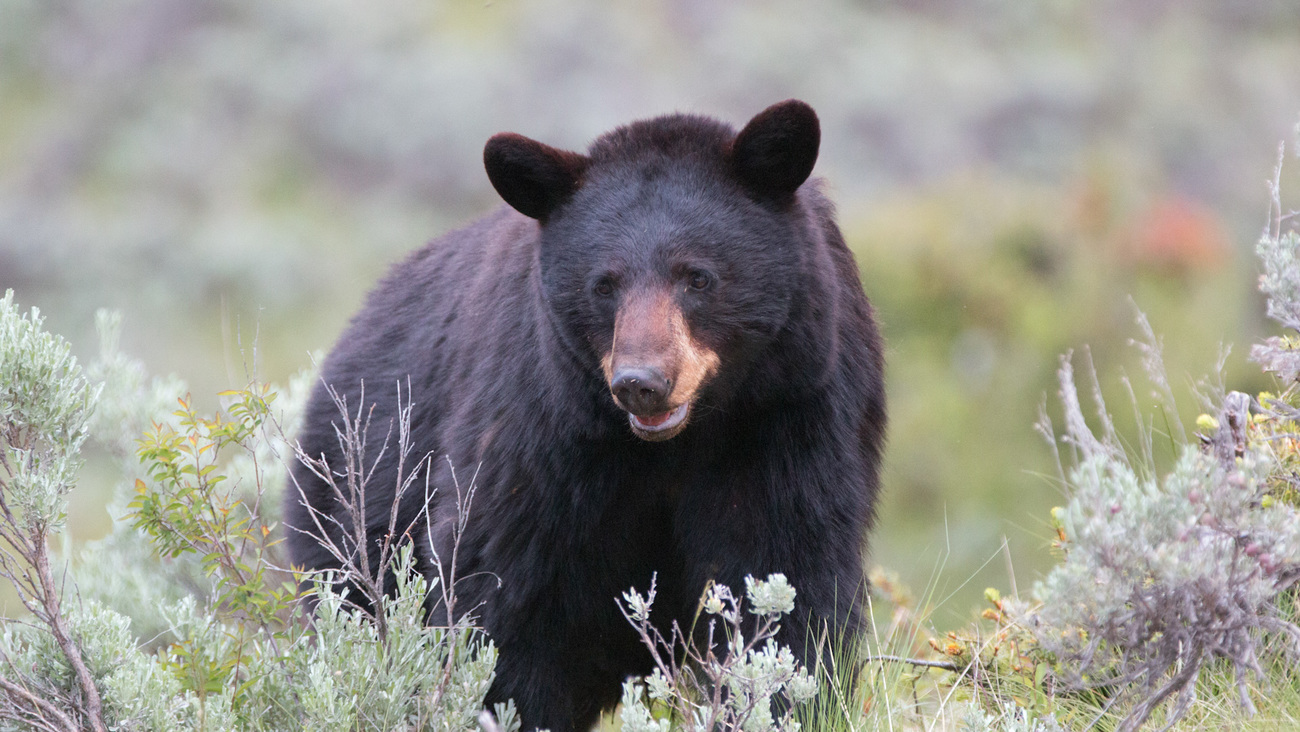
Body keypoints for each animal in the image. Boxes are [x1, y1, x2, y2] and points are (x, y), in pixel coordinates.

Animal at [287, 100, 883, 728]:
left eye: (697, 277)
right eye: (604, 284)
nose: (641, 384)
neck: (677, 445)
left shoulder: (791, 413)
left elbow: (782, 584)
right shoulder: (542, 432)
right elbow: (502, 598)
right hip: (349, 510)